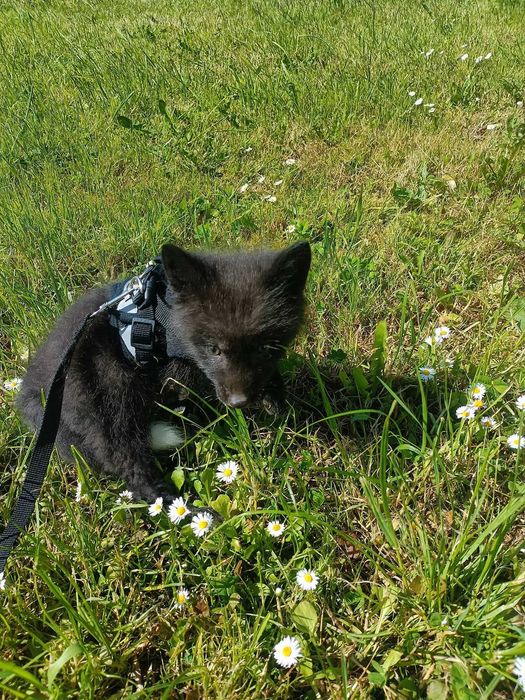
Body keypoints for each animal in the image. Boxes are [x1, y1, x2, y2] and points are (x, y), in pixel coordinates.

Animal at [17, 241, 311, 504]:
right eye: (214, 349)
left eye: (264, 348)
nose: (240, 403)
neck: (170, 321)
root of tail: (34, 392)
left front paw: (281, 403)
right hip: (110, 394)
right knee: (127, 462)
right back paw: (183, 509)